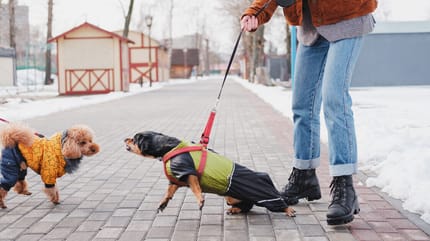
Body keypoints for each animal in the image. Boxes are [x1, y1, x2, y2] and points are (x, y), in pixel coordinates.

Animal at [124, 131, 296, 216]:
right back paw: (234, 210)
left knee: (277, 201)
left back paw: (288, 210)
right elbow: (168, 192)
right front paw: (162, 203)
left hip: (264, 194)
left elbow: (196, 188)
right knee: (247, 206)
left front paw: (200, 201)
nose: (125, 139)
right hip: (231, 197)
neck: (169, 147)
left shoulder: (188, 173)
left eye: (134, 139)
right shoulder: (177, 179)